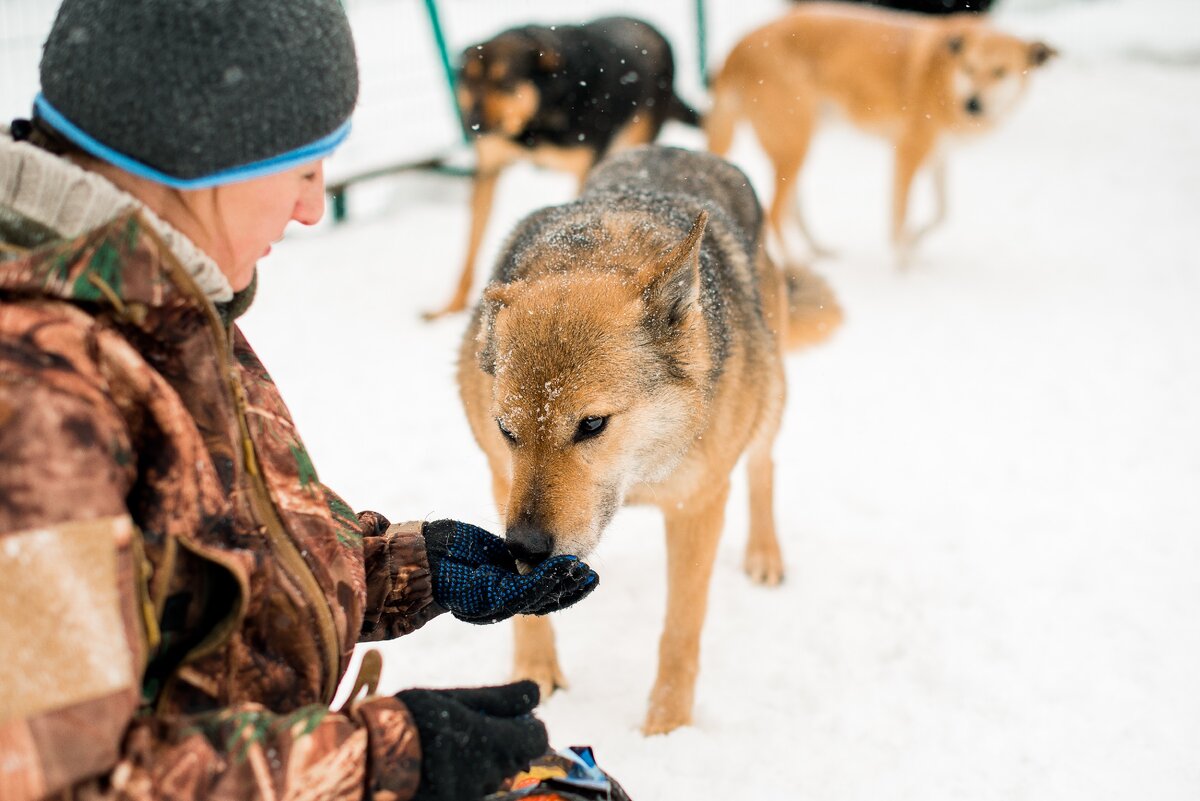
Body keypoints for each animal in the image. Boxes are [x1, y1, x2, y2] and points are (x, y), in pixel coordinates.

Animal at [424, 17, 700, 321]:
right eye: (469, 82)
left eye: (505, 82)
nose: (472, 124)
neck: (536, 119)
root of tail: (649, 26)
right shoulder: (488, 169)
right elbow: (471, 245)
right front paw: (451, 307)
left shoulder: (581, 171)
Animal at [453, 145, 840, 738]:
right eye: (507, 430)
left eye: (591, 424)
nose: (526, 549)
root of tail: (679, 148)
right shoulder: (502, 479)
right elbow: (525, 615)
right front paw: (533, 675)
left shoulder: (697, 504)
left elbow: (681, 627)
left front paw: (668, 728)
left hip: (771, 397)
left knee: (763, 467)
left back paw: (764, 555)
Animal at [705, 3, 1056, 266]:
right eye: (969, 68)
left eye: (1000, 72)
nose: (972, 104)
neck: (945, 77)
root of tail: (737, 47)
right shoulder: (908, 151)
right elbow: (900, 214)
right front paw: (903, 264)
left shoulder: (939, 155)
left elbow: (942, 211)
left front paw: (916, 240)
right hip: (795, 144)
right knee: (776, 210)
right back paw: (794, 266)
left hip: (796, 145)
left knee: (791, 207)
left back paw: (818, 250)